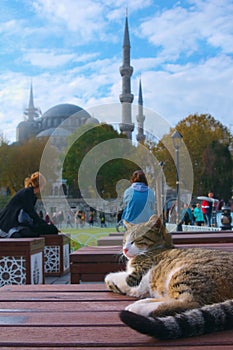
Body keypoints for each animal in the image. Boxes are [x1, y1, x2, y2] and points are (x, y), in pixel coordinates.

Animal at [104, 215, 233, 340]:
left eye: (135, 240)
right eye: (124, 241)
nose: (124, 249)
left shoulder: (135, 277)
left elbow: (112, 277)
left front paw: (112, 279)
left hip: (186, 273)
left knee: (189, 303)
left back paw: (140, 308)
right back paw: (142, 302)